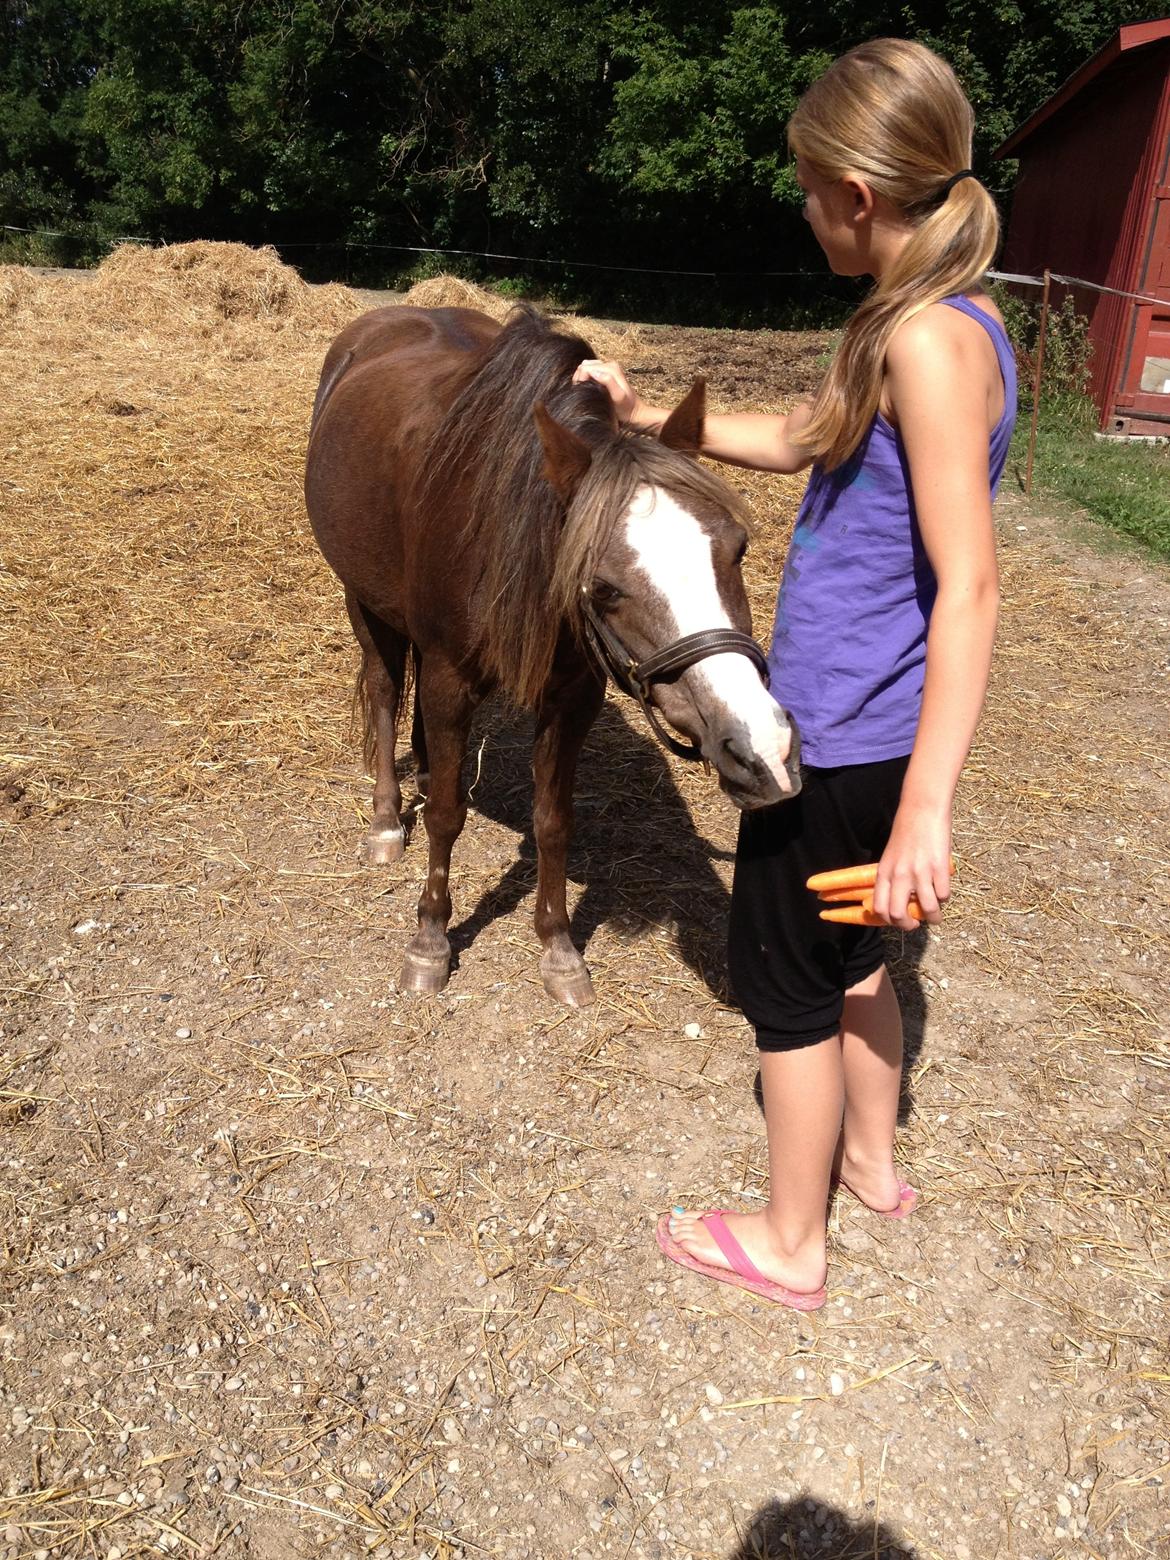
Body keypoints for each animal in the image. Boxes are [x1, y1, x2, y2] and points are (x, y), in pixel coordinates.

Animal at [304, 305, 798, 1010]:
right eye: (604, 587)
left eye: (737, 548)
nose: (762, 750)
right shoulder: (451, 676)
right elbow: (448, 816)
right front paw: (430, 939)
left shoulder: (573, 695)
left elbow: (553, 820)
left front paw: (559, 947)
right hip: (365, 601)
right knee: (384, 691)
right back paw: (386, 819)